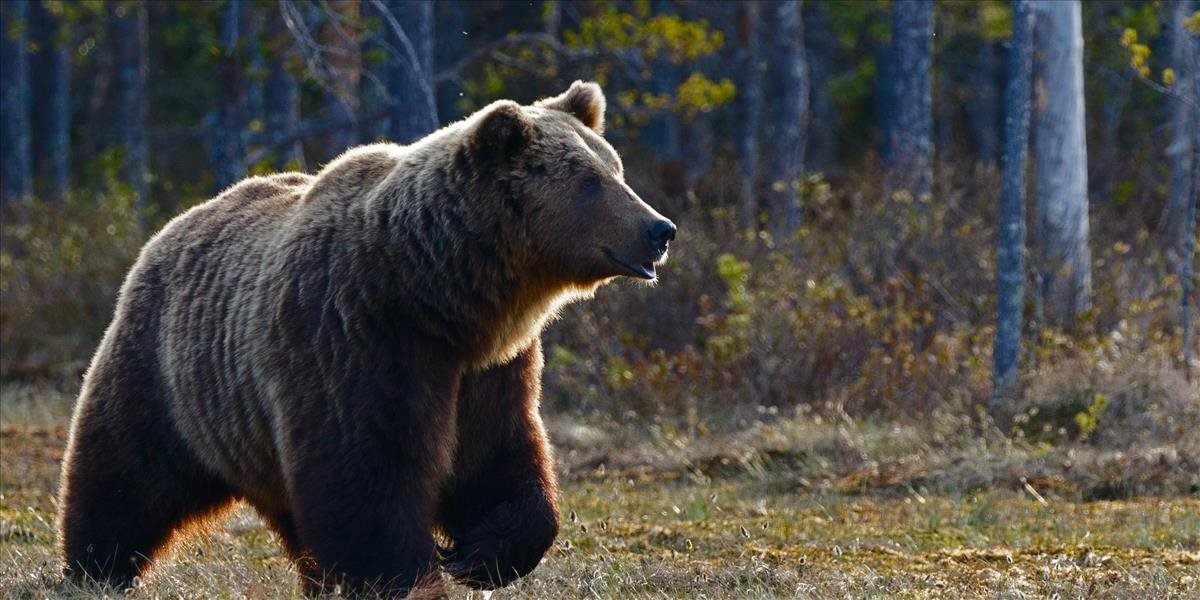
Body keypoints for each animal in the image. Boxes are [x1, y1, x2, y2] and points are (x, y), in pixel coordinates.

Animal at [56, 82, 676, 597]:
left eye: (616, 169)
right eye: (589, 181)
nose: (660, 229)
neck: (438, 296)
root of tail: (174, 225)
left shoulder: (489, 369)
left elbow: (498, 457)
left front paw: (480, 554)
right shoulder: (354, 339)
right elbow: (366, 473)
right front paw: (410, 574)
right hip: (170, 373)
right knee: (124, 472)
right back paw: (95, 568)